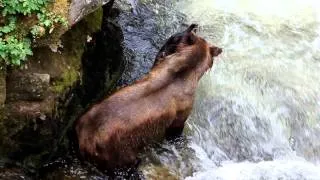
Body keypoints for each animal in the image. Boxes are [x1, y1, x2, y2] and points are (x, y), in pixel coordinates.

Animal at [75, 24, 221, 170]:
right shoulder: (182, 111)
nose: (192, 26)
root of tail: (85, 139)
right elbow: (175, 129)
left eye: (176, 38)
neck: (185, 71)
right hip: (116, 149)